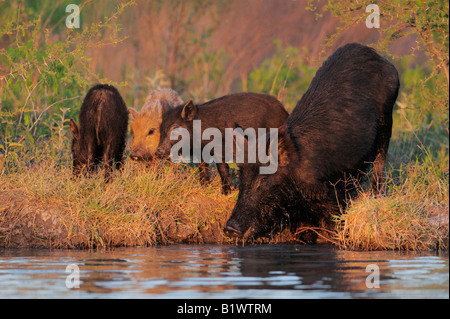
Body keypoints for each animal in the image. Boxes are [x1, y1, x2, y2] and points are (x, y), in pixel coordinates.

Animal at [155, 91, 288, 194]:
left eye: (175, 129)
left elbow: (222, 168)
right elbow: (202, 167)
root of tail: (285, 112)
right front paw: (204, 187)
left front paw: (226, 192)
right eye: (161, 129)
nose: (158, 152)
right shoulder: (201, 152)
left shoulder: (221, 149)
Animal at [225, 43, 400, 242]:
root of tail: (375, 54)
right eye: (242, 177)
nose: (229, 228)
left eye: (263, 180)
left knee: (380, 160)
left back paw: (377, 196)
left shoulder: (332, 194)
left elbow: (334, 227)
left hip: (387, 119)